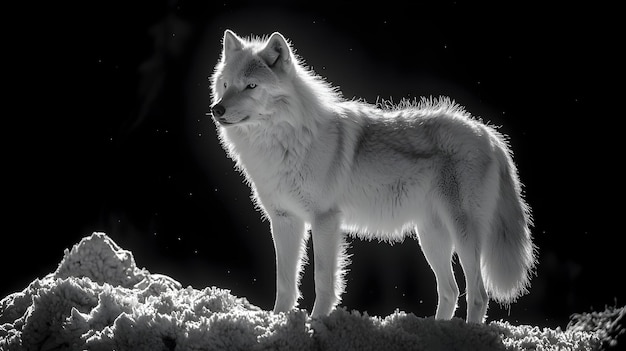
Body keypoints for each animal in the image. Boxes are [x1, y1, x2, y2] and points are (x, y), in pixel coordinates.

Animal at [207, 30, 532, 324]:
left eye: (251, 86)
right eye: (226, 84)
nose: (216, 109)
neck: (283, 143)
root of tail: (489, 134)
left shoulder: (325, 220)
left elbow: (323, 280)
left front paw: (316, 323)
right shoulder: (285, 220)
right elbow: (285, 284)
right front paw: (277, 322)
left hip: (462, 234)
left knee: (478, 295)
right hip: (430, 237)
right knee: (450, 291)